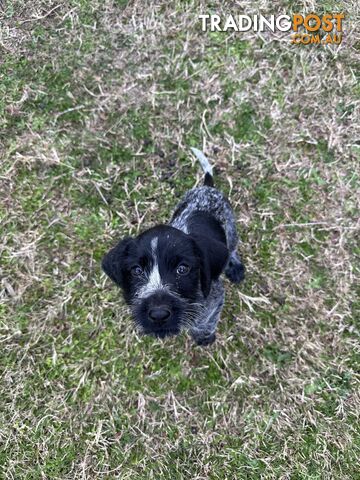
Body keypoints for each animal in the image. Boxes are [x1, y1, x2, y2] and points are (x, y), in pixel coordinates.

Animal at [101, 150, 245, 344]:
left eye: (183, 269)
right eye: (136, 270)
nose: (158, 314)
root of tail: (207, 188)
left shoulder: (215, 297)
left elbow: (206, 320)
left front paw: (203, 335)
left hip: (231, 227)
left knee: (233, 248)